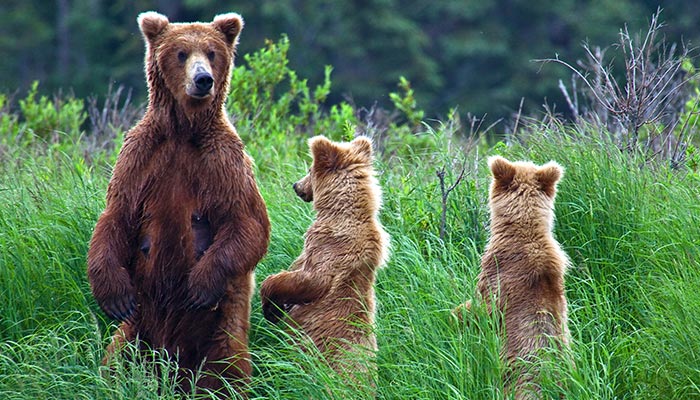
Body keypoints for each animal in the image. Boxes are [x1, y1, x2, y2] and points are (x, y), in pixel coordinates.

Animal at [87, 10, 270, 396]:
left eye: (212, 52)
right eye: (181, 53)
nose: (203, 80)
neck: (184, 130)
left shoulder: (223, 161)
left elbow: (247, 223)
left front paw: (200, 284)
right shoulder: (141, 156)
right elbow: (116, 216)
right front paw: (113, 295)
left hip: (219, 332)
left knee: (226, 368)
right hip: (138, 329)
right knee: (116, 359)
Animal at [258, 135, 388, 384]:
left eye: (309, 169)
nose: (296, 186)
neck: (339, 212)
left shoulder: (330, 248)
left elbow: (310, 280)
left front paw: (271, 306)